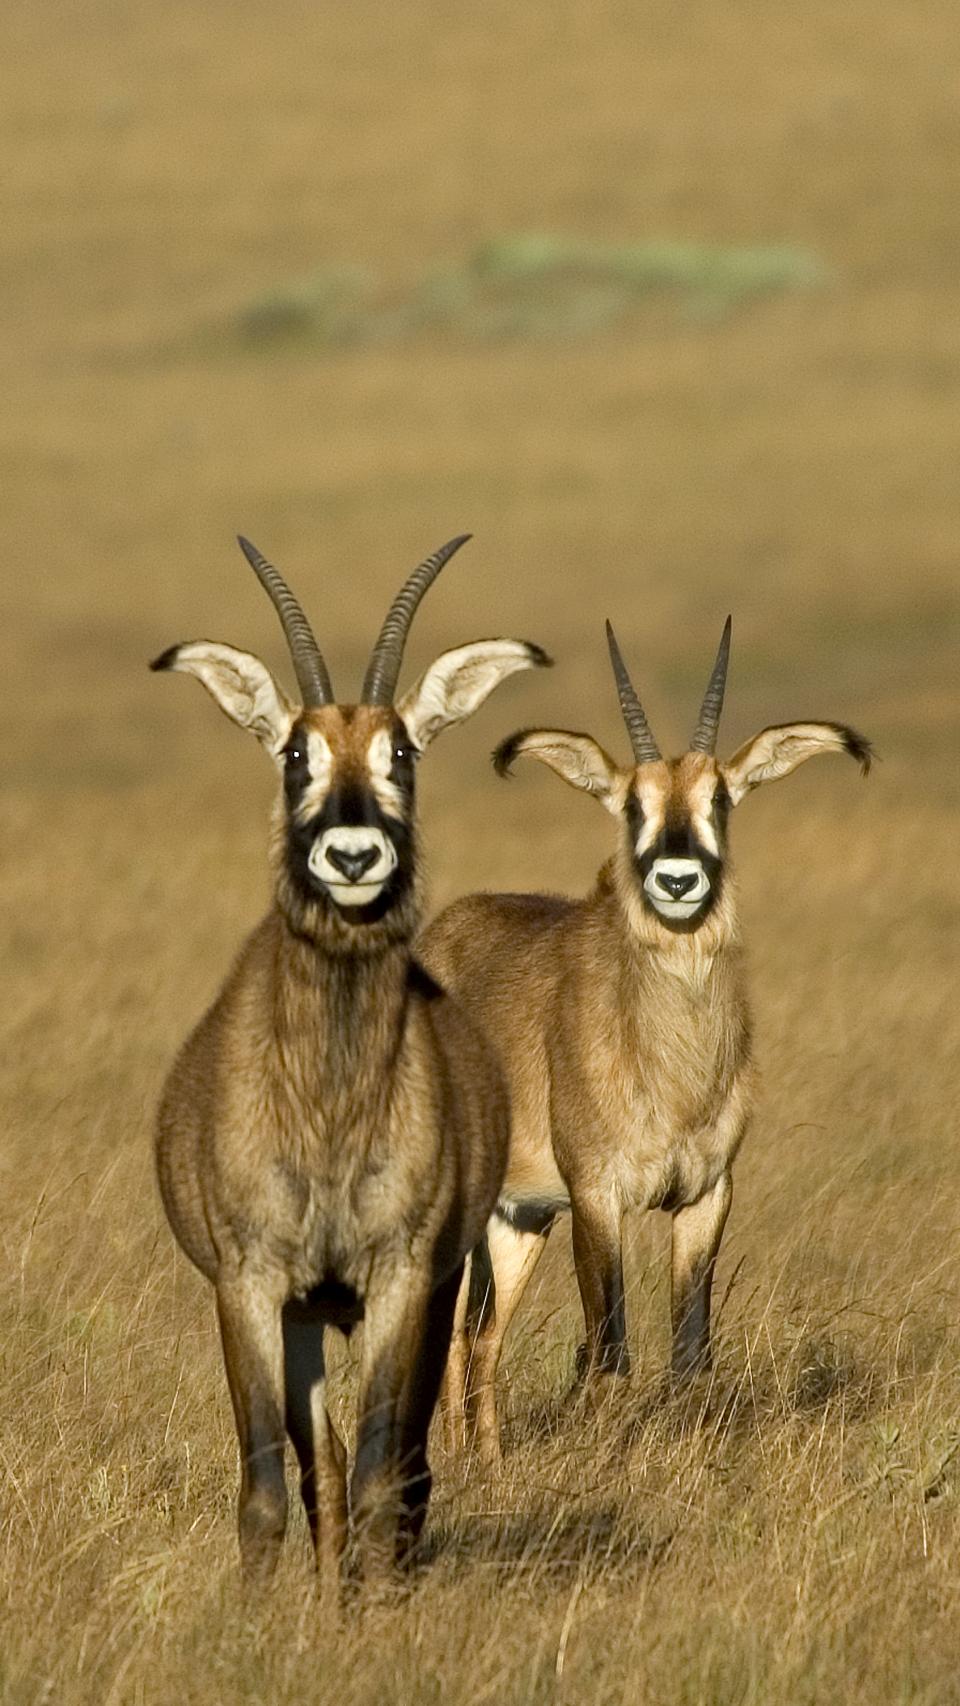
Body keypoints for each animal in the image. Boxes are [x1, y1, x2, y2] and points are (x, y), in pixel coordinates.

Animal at [155, 535, 552, 1583]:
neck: (328, 1106)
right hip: (305, 1317)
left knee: (401, 1465)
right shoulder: (252, 1287)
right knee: (322, 1472)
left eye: (401, 750)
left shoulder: (401, 1280)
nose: (352, 853)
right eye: (295, 750)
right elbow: (270, 1487)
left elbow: (382, 1472)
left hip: (428, 1290)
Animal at [421, 614, 873, 1453]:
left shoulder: (705, 1195)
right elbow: (611, 1354)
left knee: (479, 1339)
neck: (671, 1066)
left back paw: (485, 1462)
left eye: (720, 798)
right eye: (632, 804)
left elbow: (691, 1356)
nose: (678, 878)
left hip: (518, 1219)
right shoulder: (597, 1198)